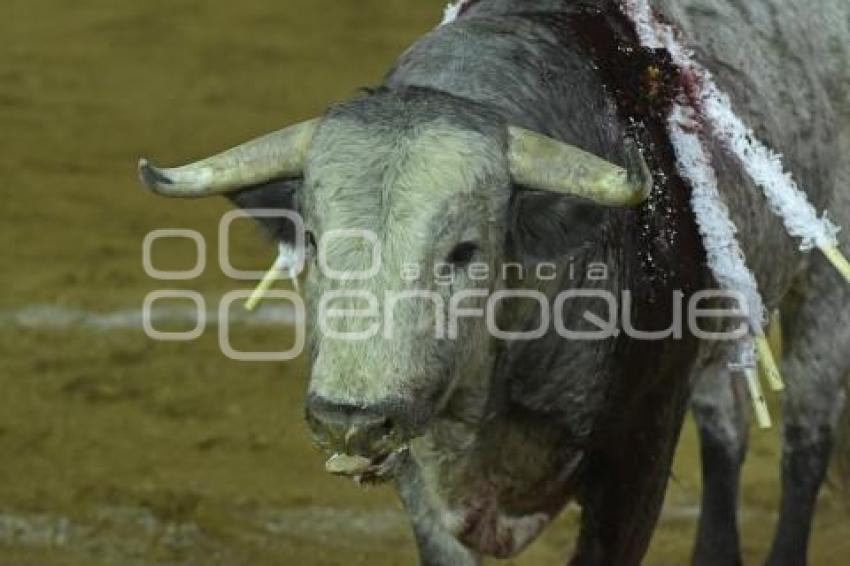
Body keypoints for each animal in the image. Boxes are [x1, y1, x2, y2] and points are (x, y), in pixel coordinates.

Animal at [137, 0, 848, 564]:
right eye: (310, 241)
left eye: (464, 250)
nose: (349, 421)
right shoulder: (420, 467)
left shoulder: (637, 455)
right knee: (725, 430)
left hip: (824, 293)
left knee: (804, 445)